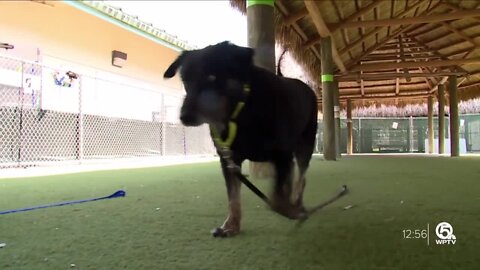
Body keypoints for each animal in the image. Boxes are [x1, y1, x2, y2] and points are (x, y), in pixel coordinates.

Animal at [165, 41, 318, 237]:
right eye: (185, 81)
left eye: (212, 78)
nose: (185, 117)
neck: (241, 110)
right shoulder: (229, 160)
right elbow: (233, 197)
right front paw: (231, 225)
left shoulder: (283, 154)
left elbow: (277, 197)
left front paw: (288, 209)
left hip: (305, 144)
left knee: (301, 176)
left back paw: (297, 203)